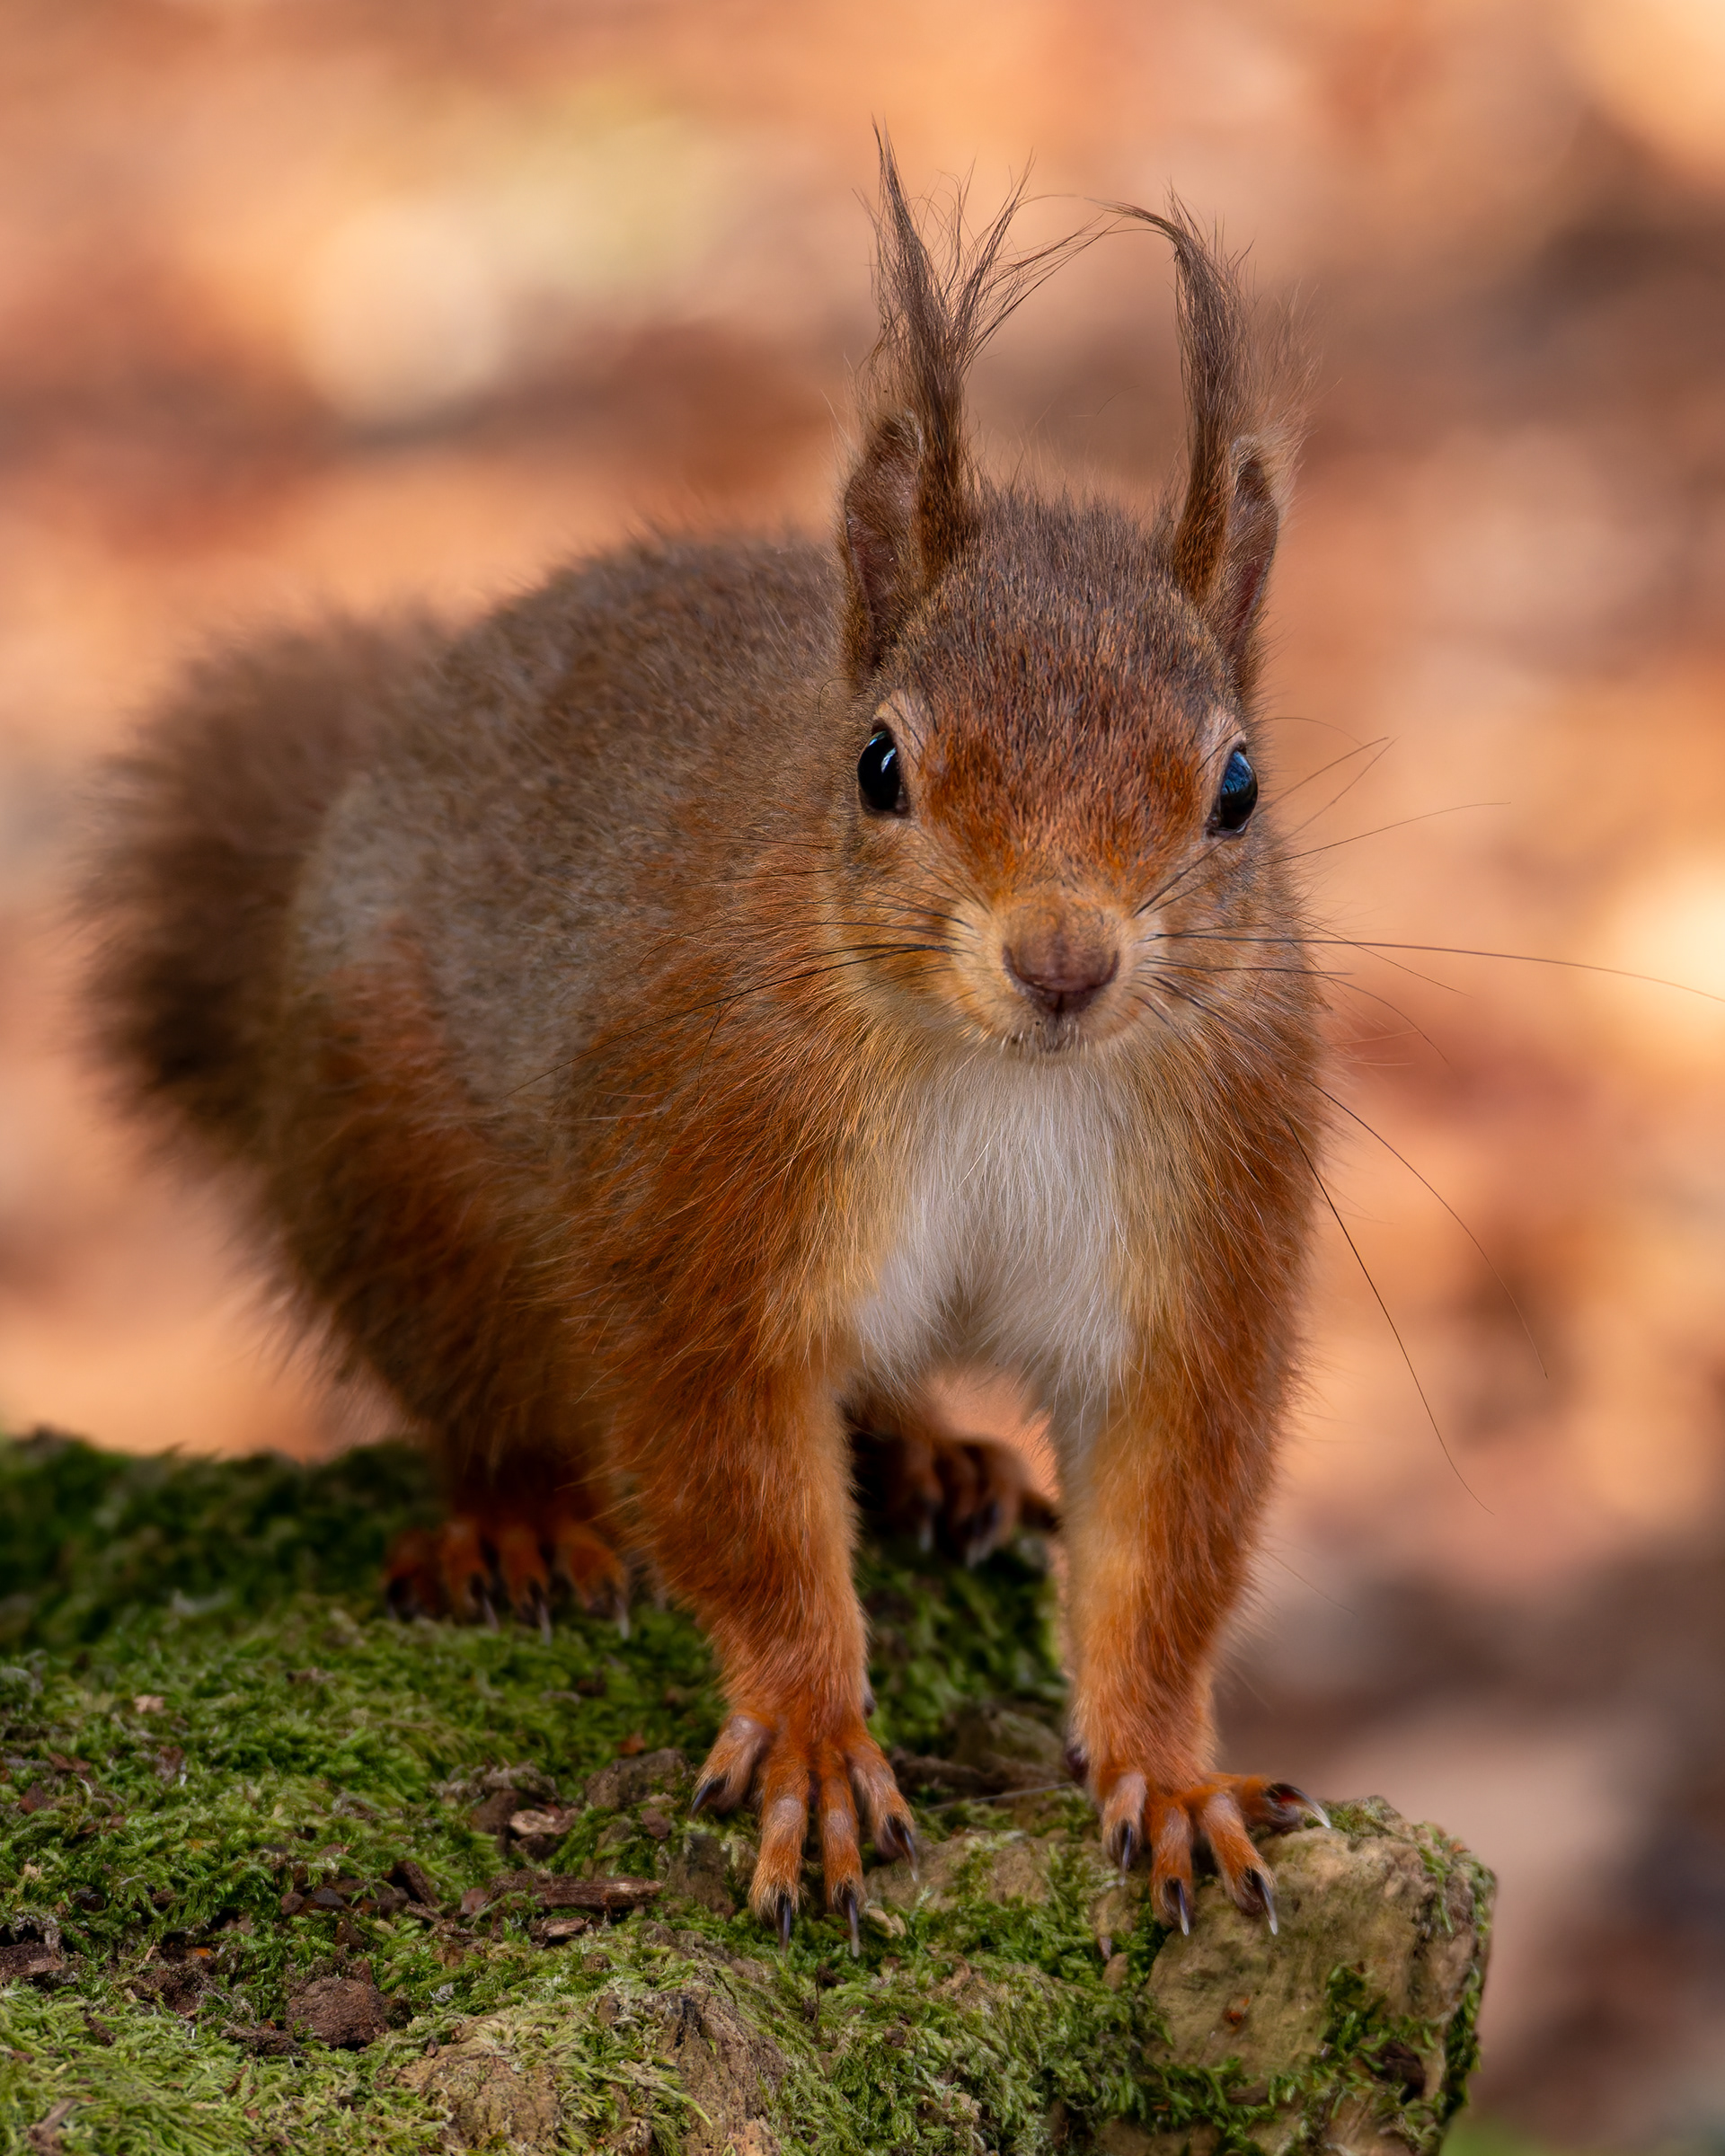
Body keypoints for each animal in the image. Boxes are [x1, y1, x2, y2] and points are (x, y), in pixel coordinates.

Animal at [85, 145, 1329, 1944]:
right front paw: (812, 1736)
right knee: (482, 1396)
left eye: (1236, 788)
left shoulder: (1204, 1227)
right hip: (406, 1196)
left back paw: (935, 1458)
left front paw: (1167, 1774)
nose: (1065, 962)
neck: (1003, 1073)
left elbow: (1166, 1535)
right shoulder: (706, 1198)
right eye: (878, 766)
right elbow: (733, 1491)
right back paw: (521, 1527)